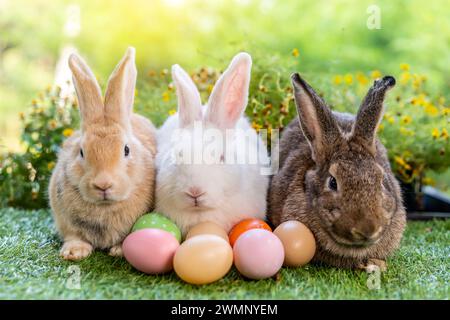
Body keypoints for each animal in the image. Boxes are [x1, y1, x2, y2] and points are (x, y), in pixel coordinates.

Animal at [48, 48, 157, 262]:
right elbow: (73, 235)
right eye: (81, 152)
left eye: (126, 150)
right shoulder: (64, 219)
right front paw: (73, 253)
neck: (105, 206)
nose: (103, 185)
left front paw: (120, 250)